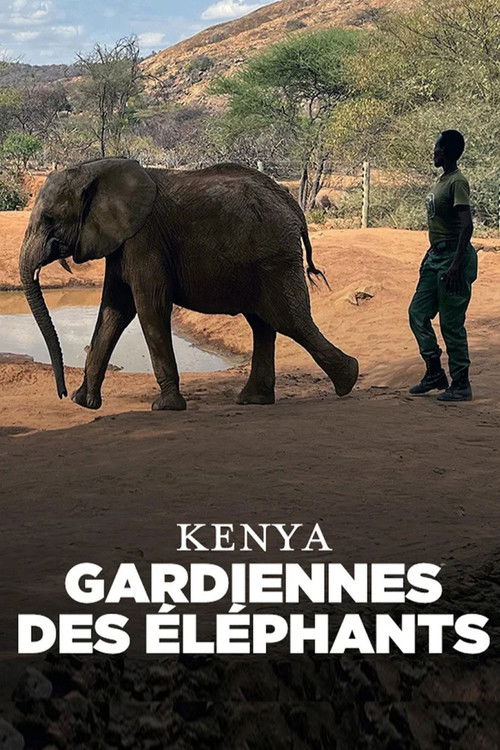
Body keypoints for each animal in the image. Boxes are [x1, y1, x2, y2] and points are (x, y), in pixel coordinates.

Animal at [19, 158, 359, 411]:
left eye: (49, 219)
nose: (61, 393)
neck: (95, 171)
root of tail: (294, 208)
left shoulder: (145, 240)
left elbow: (149, 308)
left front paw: (165, 406)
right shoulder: (121, 241)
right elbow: (113, 311)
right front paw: (84, 402)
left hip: (274, 257)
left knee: (289, 320)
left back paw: (348, 380)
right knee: (263, 324)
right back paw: (255, 399)